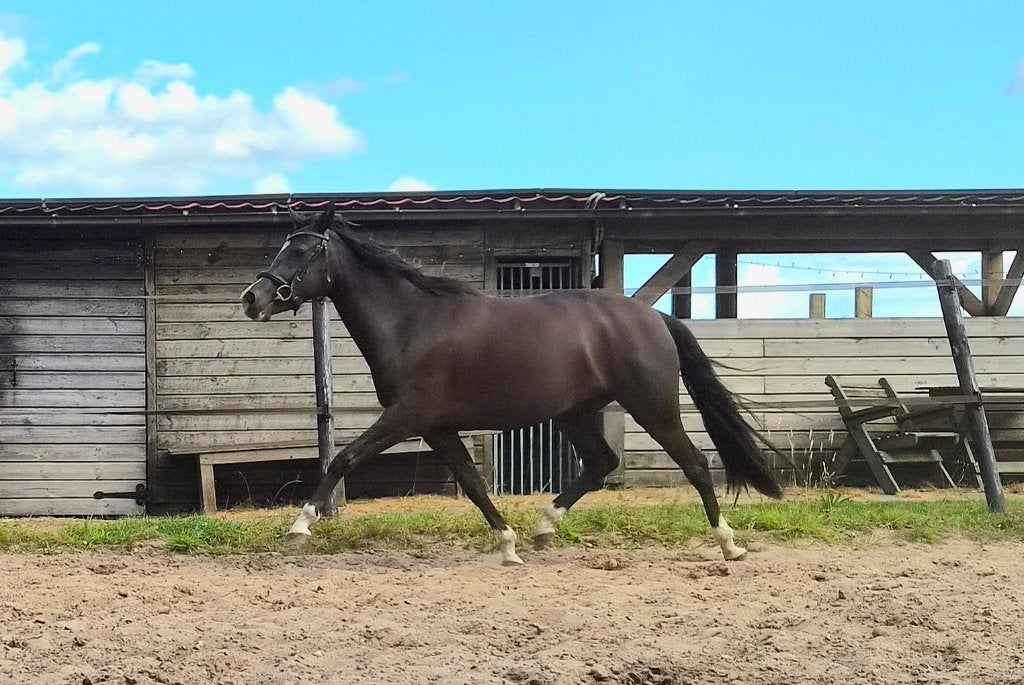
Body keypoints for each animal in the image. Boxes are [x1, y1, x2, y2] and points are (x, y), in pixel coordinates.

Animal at [240, 207, 782, 564]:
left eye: (303, 249)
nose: (253, 298)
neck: (412, 322)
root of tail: (653, 317)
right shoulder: (437, 427)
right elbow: (473, 482)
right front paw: (508, 545)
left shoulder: (406, 417)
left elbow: (343, 458)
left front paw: (299, 526)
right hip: (574, 412)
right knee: (601, 462)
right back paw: (544, 529)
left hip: (653, 407)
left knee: (694, 464)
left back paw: (729, 544)